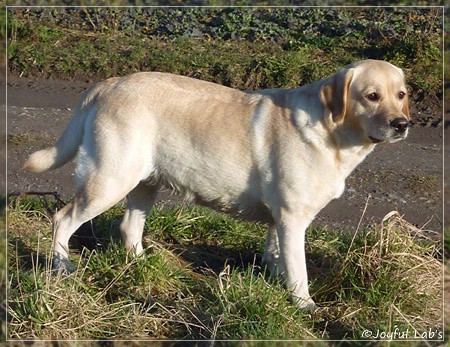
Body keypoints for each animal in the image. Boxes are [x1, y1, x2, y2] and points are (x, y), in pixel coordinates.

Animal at [25, 59, 412, 310]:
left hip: (143, 184)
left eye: (401, 94)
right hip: (109, 180)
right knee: (62, 219)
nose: (402, 124)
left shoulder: (279, 219)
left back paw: (144, 264)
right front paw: (304, 305)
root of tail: (110, 83)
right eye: (372, 96)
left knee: (128, 228)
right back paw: (62, 268)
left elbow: (277, 257)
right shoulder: (292, 218)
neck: (333, 132)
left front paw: (277, 286)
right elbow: (299, 270)